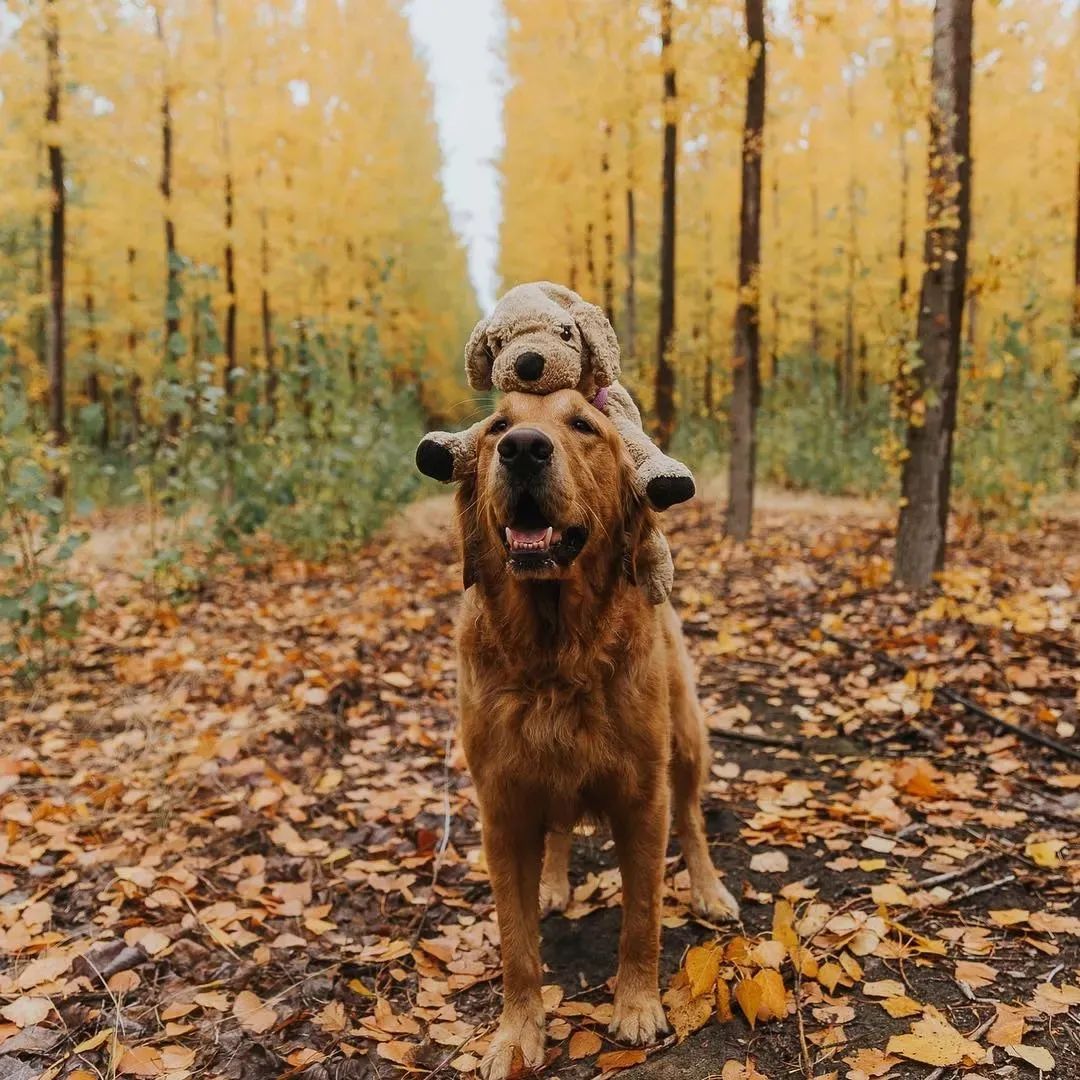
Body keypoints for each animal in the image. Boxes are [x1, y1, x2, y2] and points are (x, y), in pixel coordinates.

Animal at [451, 388, 738, 1080]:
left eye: (583, 425)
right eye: (497, 427)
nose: (523, 448)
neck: (555, 655)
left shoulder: (643, 799)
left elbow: (642, 918)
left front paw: (636, 1007)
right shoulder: (502, 810)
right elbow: (517, 945)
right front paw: (516, 1035)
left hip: (687, 741)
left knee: (693, 822)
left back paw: (710, 889)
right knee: (557, 832)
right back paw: (554, 883)